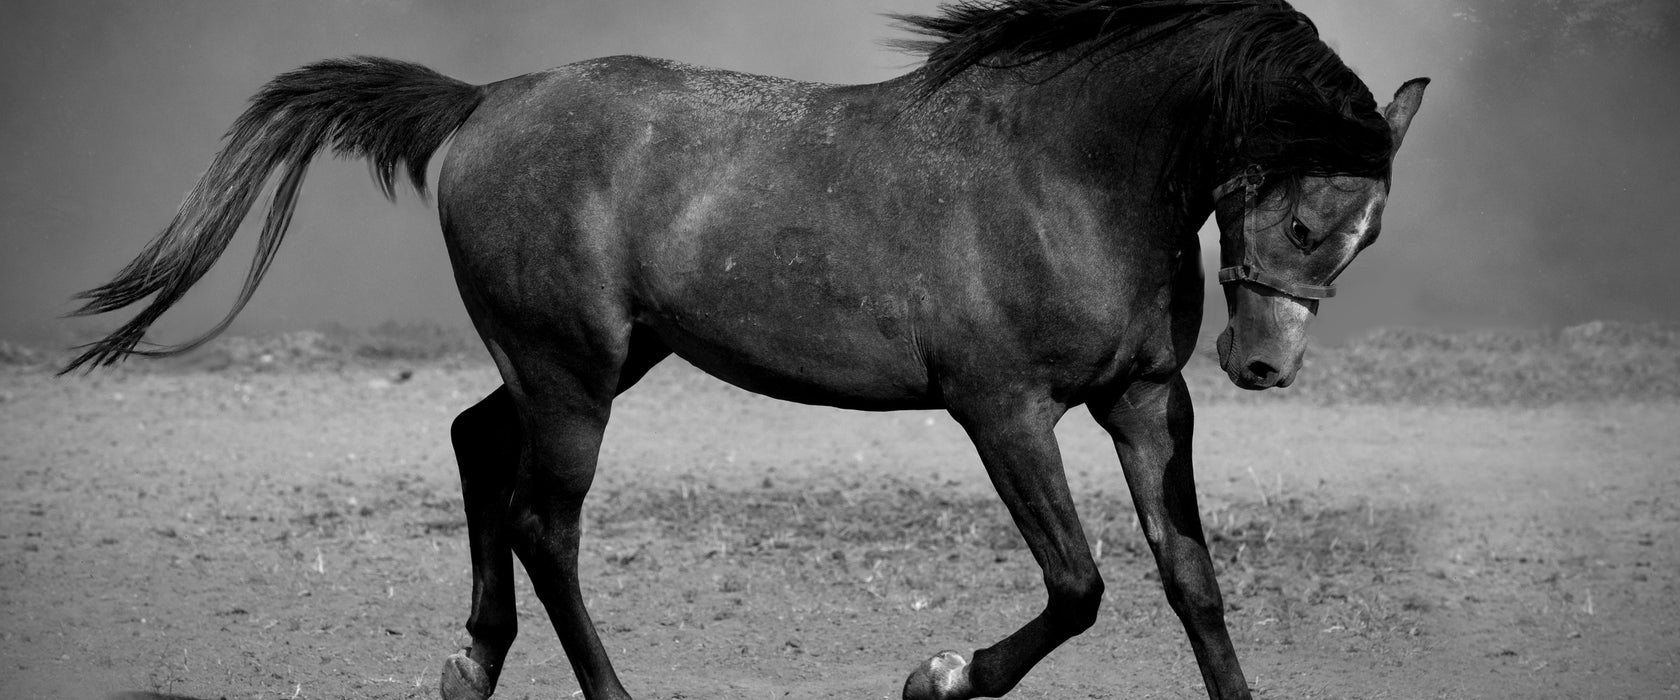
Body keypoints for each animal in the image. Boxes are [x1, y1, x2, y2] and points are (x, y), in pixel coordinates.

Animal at [65, 1, 1431, 698]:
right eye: (1305, 215)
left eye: (1369, 232)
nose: (1263, 367)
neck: (1068, 173)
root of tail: (486, 102)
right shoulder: (1002, 410)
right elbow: (1080, 583)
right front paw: (939, 673)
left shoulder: (1145, 402)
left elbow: (1191, 580)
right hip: (573, 375)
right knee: (543, 522)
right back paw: (604, 696)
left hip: (593, 360)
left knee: (473, 444)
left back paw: (470, 665)